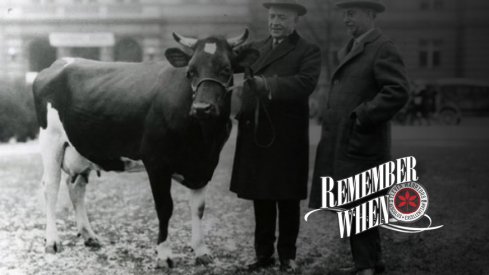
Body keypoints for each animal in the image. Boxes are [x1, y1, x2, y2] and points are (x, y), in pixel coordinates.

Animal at [33, 29, 260, 268]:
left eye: (226, 69)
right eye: (190, 71)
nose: (202, 108)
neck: (203, 139)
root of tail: (60, 62)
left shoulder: (204, 165)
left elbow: (198, 208)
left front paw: (201, 251)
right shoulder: (156, 162)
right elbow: (164, 207)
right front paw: (164, 255)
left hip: (80, 149)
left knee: (75, 187)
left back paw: (89, 236)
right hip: (51, 140)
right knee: (51, 187)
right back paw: (53, 242)